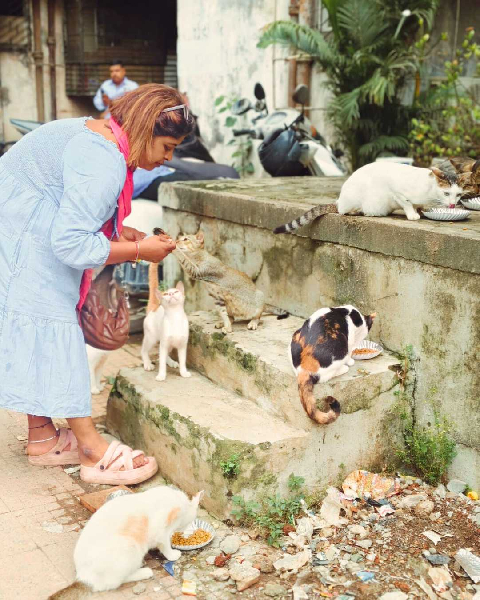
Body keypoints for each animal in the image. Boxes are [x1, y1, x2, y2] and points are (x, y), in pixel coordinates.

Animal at [49, 486, 203, 598]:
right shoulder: (160, 532)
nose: (187, 531)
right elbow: (165, 546)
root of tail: (84, 576)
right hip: (129, 547)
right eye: (188, 523)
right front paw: (172, 554)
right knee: (114, 582)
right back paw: (144, 571)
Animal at [274, 163, 464, 233]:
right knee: (344, 211)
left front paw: (421, 211)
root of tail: (339, 200)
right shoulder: (396, 190)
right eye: (446, 193)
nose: (452, 205)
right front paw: (412, 215)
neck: (429, 189)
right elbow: (407, 203)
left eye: (458, 195)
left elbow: (418, 205)